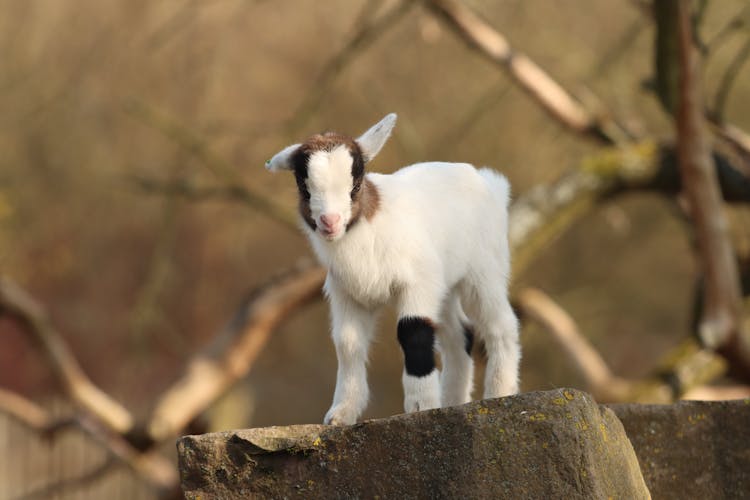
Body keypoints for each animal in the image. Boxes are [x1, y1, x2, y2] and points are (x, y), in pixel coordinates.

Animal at [268, 114, 520, 426]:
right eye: (304, 188)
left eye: (355, 185)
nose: (330, 221)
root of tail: (490, 184)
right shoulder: (347, 294)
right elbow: (348, 344)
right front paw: (342, 413)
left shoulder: (416, 283)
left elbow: (413, 331)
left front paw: (420, 405)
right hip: (444, 285)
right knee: (459, 334)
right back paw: (452, 401)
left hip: (484, 269)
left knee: (500, 326)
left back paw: (500, 393)